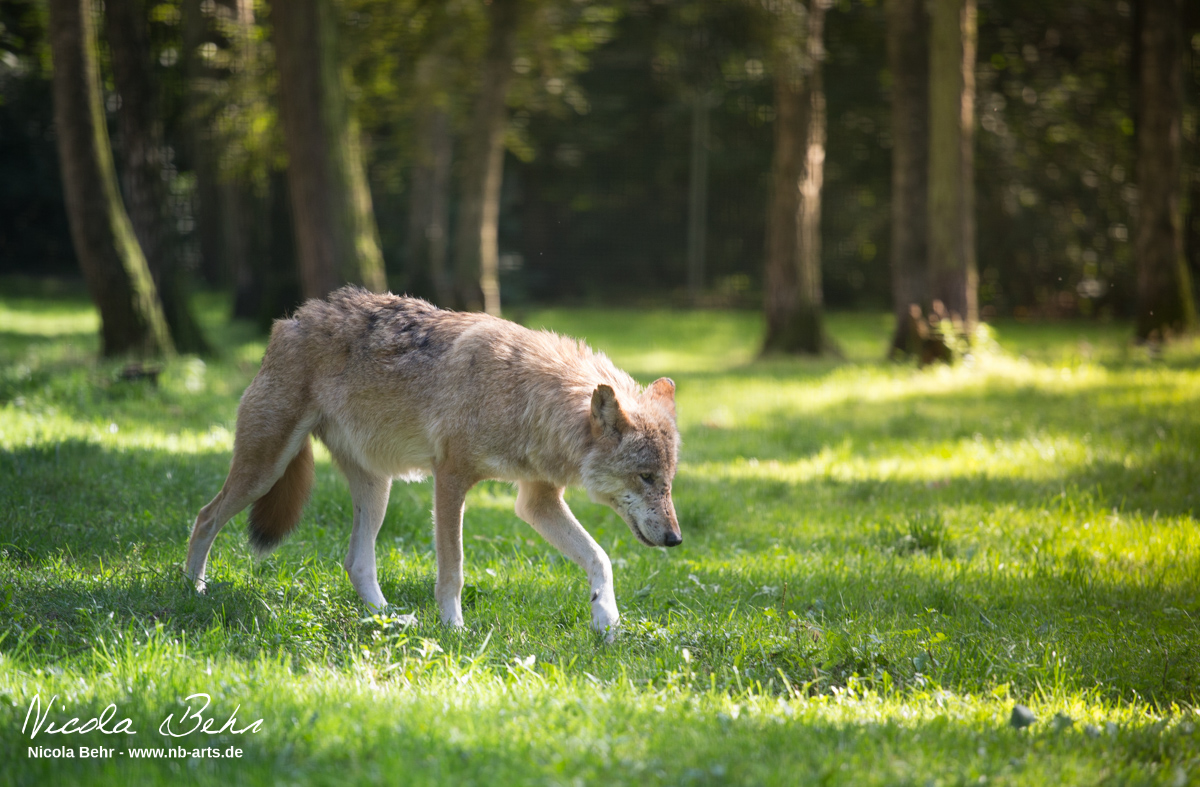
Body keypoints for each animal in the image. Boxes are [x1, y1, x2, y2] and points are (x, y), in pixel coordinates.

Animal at [182, 285, 681, 638]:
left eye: (668, 480)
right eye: (645, 476)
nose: (676, 538)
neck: (524, 396)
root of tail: (291, 320)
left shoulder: (536, 501)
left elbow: (601, 558)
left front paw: (607, 621)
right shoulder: (451, 479)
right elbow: (453, 570)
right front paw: (455, 630)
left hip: (376, 488)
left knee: (356, 563)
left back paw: (389, 619)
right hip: (264, 470)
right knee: (204, 517)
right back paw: (194, 591)